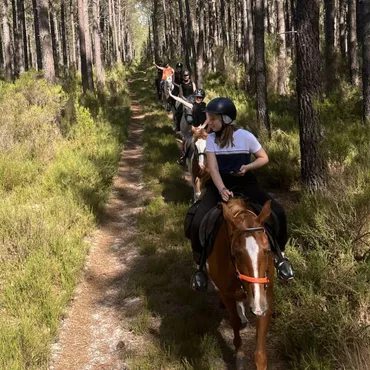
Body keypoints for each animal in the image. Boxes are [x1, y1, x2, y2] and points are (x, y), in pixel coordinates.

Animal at [208, 199, 274, 370]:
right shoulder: (227, 295)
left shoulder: (265, 298)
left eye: (267, 250)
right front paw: (239, 355)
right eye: (236, 253)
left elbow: (260, 354)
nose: (257, 305)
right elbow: (234, 322)